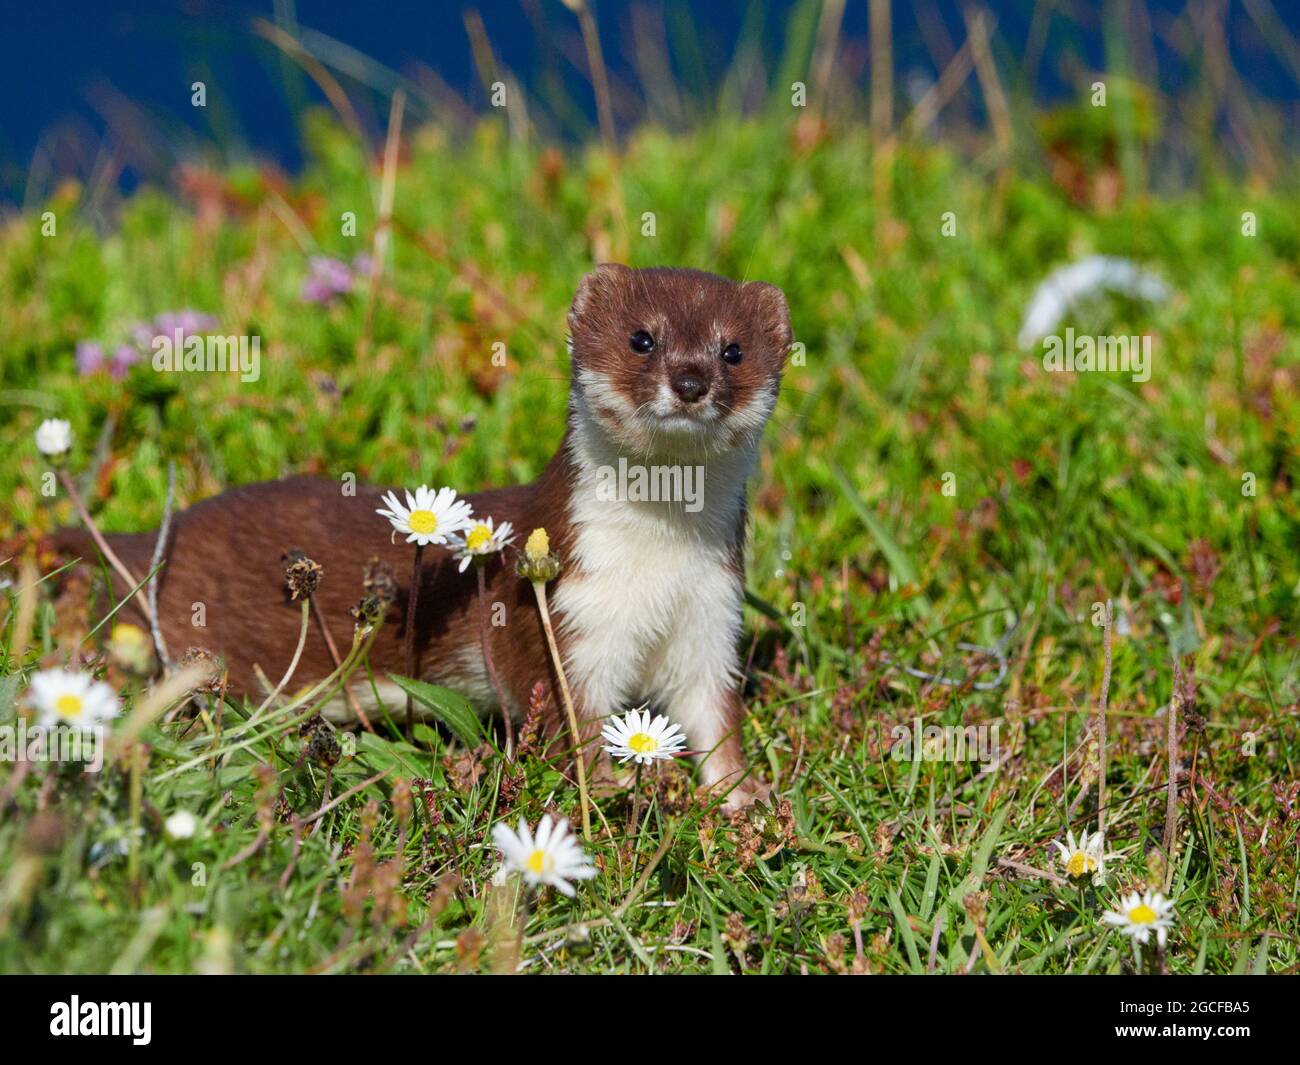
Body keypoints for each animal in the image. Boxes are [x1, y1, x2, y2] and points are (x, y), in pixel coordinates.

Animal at [55, 266, 790, 806]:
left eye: (733, 349)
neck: (656, 572)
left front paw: (743, 795)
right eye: (642, 338)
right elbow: (570, 719)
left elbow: (712, 712)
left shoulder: (711, 613)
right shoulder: (561, 618)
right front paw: (611, 792)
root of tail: (159, 531)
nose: (691, 380)